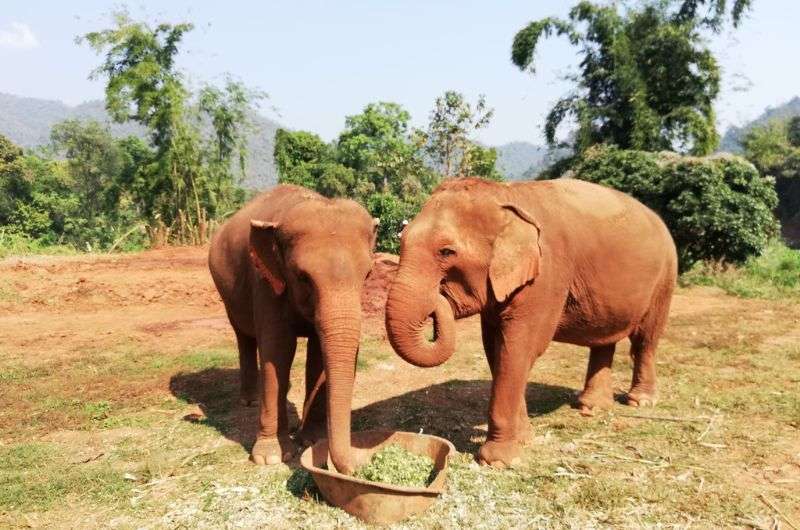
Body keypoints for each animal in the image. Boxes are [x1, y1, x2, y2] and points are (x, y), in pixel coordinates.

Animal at [209, 185, 378, 470]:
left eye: (367, 275)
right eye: (302, 277)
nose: (356, 469)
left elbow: (318, 354)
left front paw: (312, 440)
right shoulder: (265, 282)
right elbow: (278, 351)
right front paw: (270, 457)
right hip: (226, 293)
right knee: (243, 336)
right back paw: (249, 401)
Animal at [386, 176, 676, 466]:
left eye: (447, 251)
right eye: (402, 242)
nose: (438, 298)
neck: (506, 195)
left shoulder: (547, 275)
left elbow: (519, 348)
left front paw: (498, 461)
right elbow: (496, 349)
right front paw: (525, 438)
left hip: (665, 278)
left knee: (645, 340)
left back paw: (639, 402)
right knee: (604, 340)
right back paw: (590, 406)